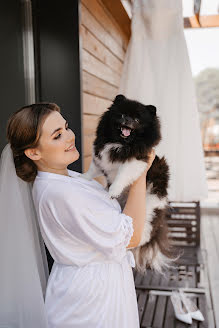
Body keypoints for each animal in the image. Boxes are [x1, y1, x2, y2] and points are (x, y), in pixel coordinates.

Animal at [82, 95, 178, 274]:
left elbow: (121, 176)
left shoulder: (136, 162)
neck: (121, 144)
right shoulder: (101, 157)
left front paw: (113, 191)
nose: (127, 120)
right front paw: (83, 177)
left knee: (143, 234)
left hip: (150, 205)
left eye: (137, 119)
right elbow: (93, 169)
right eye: (121, 115)